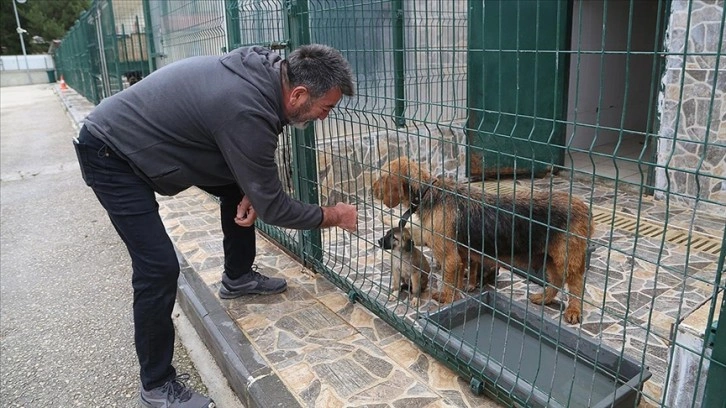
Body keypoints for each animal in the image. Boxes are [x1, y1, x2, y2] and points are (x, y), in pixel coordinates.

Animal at [372, 157, 596, 326]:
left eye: (382, 176)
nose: (370, 188)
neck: (427, 192)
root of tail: (585, 209)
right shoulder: (459, 255)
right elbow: (458, 276)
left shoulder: (449, 256)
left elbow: (448, 280)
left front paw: (445, 298)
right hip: (548, 257)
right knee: (557, 281)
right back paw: (544, 298)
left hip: (567, 258)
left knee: (576, 284)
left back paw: (573, 311)